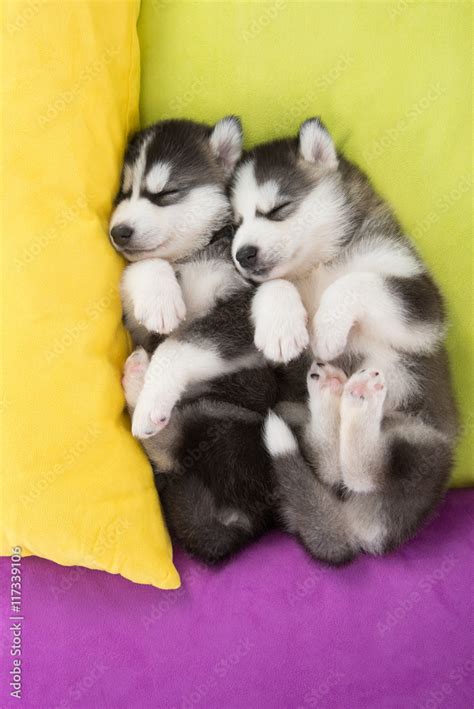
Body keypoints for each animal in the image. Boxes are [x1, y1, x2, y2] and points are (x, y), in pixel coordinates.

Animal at [230, 117, 460, 564]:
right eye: (234, 224)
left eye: (278, 209)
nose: (242, 254)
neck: (319, 266)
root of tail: (359, 526)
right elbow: (275, 285)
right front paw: (280, 326)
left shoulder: (421, 305)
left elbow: (358, 281)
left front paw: (328, 327)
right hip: (293, 411)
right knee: (331, 464)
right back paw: (334, 396)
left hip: (423, 439)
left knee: (365, 472)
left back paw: (359, 402)